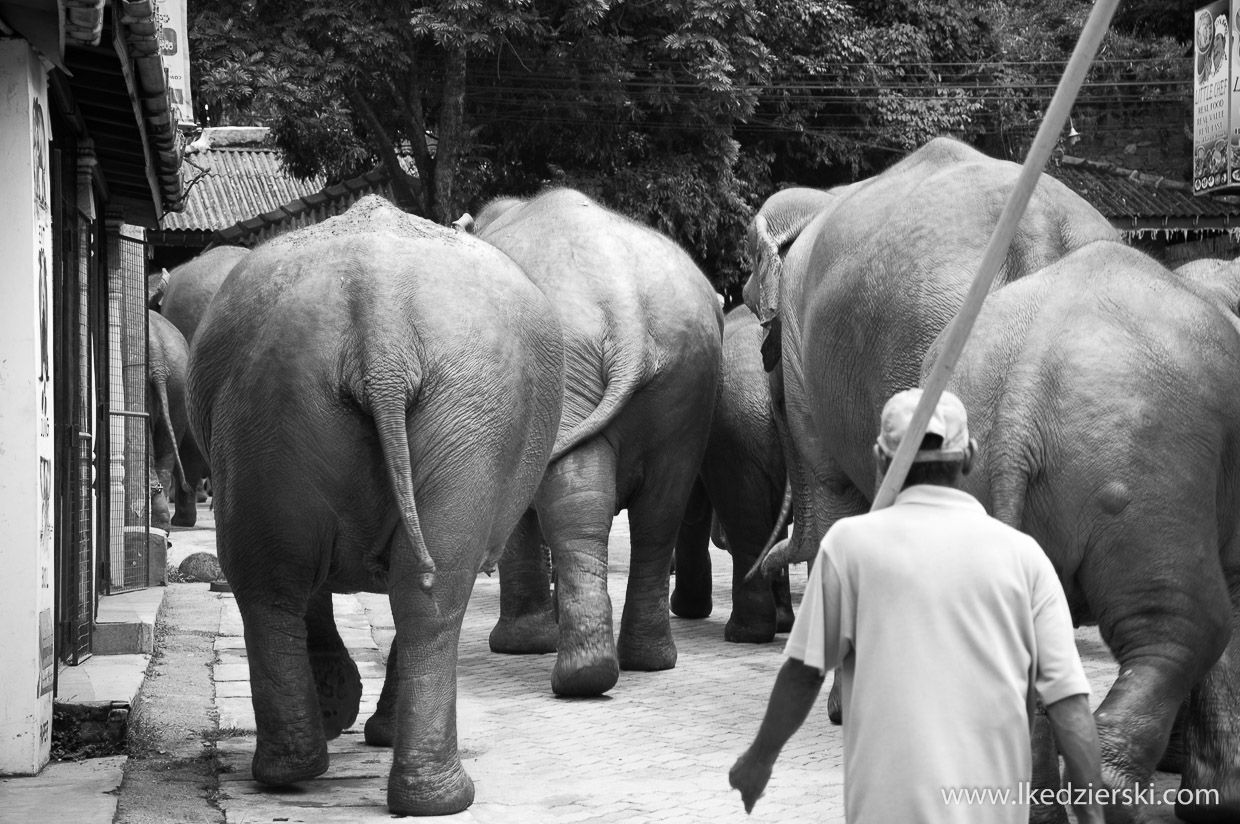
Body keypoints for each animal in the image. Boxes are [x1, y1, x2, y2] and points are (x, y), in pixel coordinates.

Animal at [182, 194, 562, 817]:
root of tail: (380, 320)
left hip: (281, 403)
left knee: (281, 577)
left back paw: (306, 772)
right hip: (447, 412)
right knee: (420, 589)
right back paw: (429, 793)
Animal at [473, 185, 724, 693]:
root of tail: (625, 308)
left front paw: (520, 646)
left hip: (566, 365)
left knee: (579, 501)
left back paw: (579, 677)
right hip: (689, 381)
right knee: (659, 512)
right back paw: (646, 662)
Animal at [669, 302, 793, 644]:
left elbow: (690, 511)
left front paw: (685, 610)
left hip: (734, 432)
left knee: (744, 525)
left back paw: (743, 633)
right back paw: (777, 626)